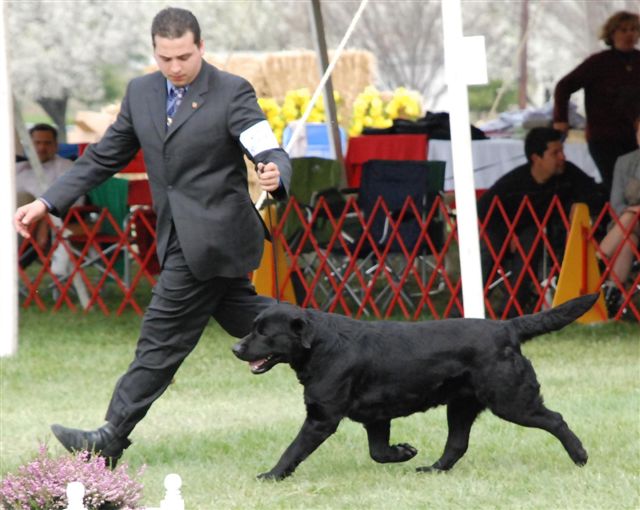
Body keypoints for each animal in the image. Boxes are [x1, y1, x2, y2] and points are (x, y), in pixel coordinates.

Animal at [232, 293, 597, 480]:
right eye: (253, 327)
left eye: (265, 332)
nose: (235, 348)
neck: (322, 345)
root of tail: (507, 326)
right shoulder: (376, 417)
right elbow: (378, 452)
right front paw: (404, 452)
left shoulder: (322, 418)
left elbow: (292, 449)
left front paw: (271, 474)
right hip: (461, 405)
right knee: (457, 444)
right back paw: (432, 469)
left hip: (511, 400)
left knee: (556, 419)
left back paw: (580, 456)